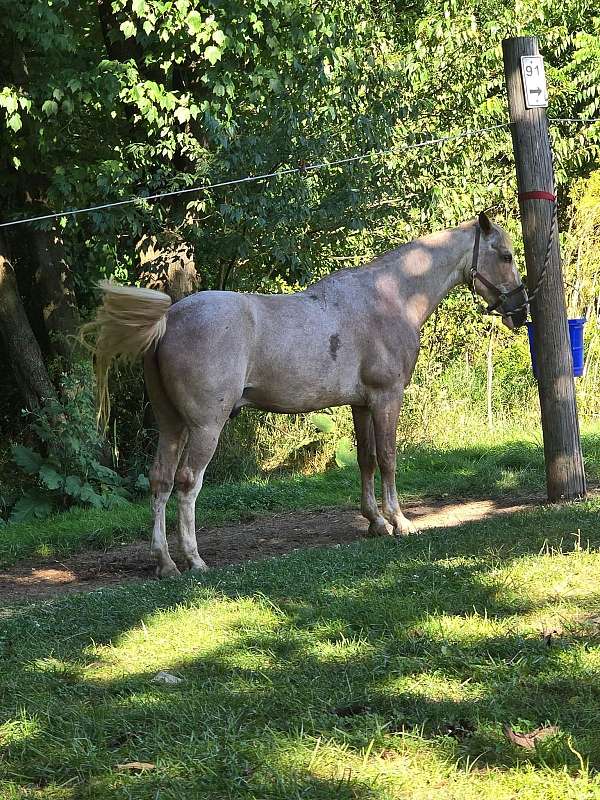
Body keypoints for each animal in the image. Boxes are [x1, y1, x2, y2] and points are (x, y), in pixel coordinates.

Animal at [86, 211, 528, 576]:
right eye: (505, 255)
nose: (520, 311)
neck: (389, 296)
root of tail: (169, 320)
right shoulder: (386, 398)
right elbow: (388, 459)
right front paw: (400, 521)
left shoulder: (360, 404)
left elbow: (366, 460)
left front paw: (375, 522)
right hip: (205, 428)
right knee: (187, 483)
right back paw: (194, 560)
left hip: (172, 426)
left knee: (160, 482)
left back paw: (166, 564)